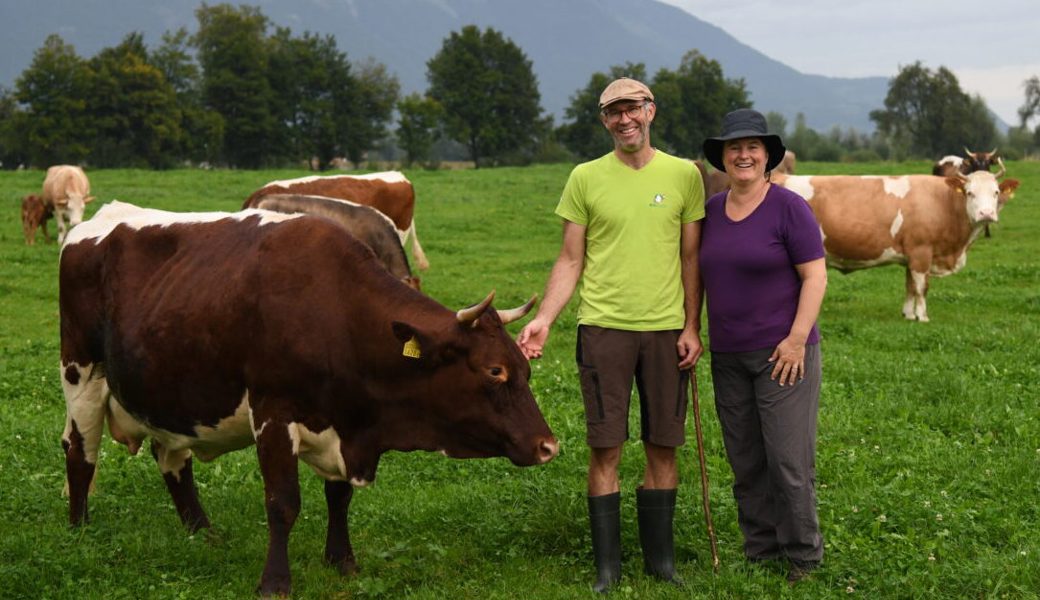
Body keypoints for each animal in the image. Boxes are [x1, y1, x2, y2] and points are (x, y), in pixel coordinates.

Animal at [777, 170, 1019, 320]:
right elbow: (922, 287)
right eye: (970, 193)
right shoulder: (922, 252)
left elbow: (910, 286)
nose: (986, 214)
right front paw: (922, 316)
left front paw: (908, 314)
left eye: (996, 192)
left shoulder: (911, 255)